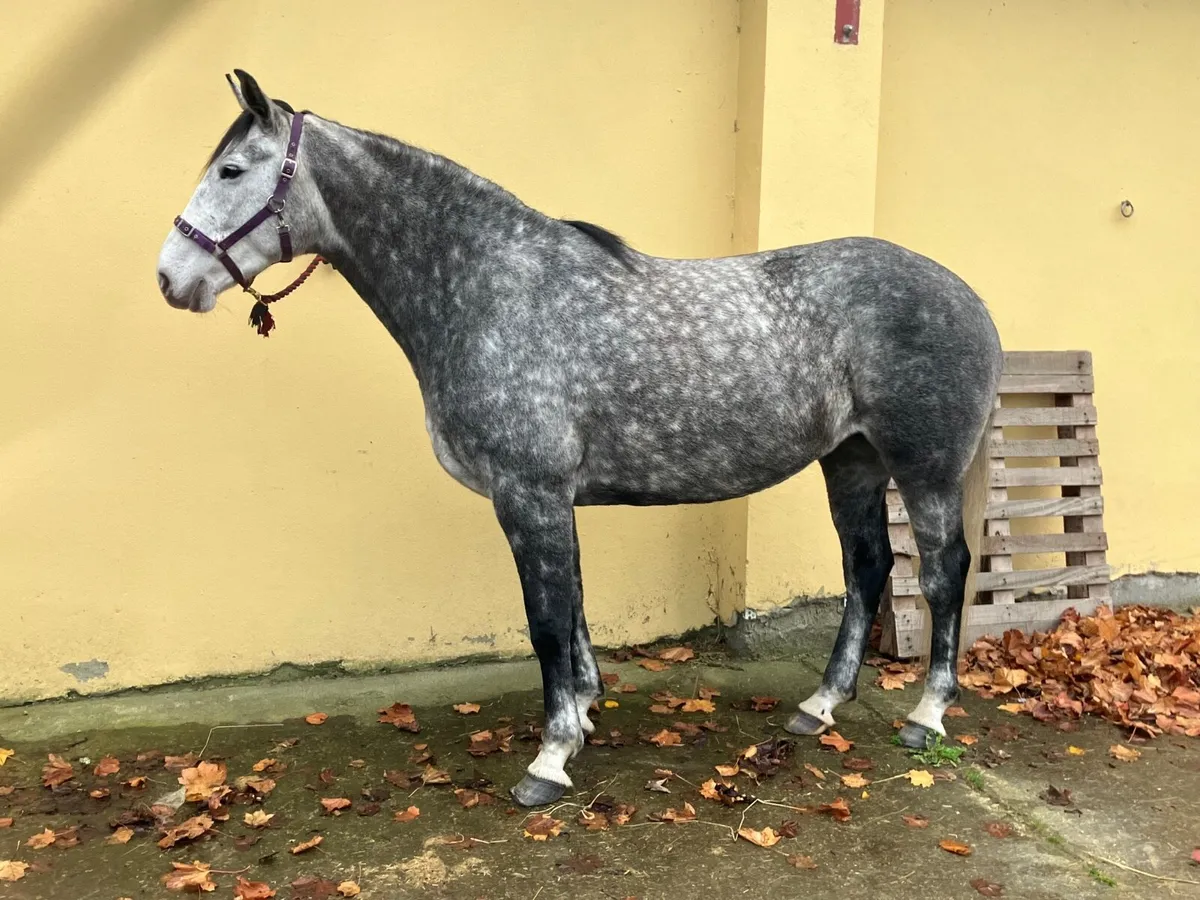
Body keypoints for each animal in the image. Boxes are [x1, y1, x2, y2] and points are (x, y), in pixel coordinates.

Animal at [156, 70, 1002, 807]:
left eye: (232, 169)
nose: (171, 278)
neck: (493, 291)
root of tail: (969, 297)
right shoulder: (554, 498)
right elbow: (576, 611)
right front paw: (587, 715)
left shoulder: (527, 494)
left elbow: (546, 622)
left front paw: (550, 757)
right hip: (850, 461)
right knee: (866, 569)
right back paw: (820, 704)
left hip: (923, 470)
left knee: (941, 574)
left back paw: (926, 716)